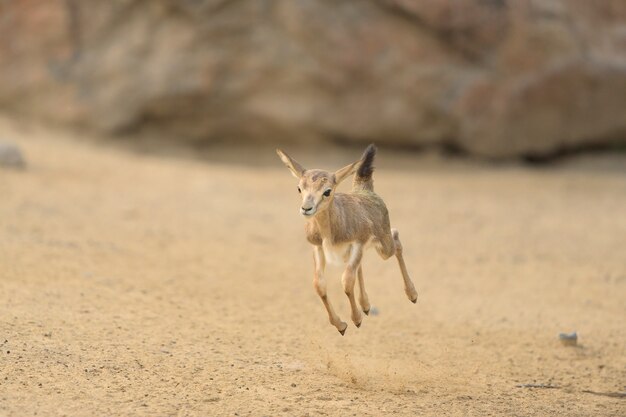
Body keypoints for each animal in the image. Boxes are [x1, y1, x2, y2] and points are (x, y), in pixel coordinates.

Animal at [276, 144, 416, 334]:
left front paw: (356, 320)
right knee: (361, 266)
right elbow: (319, 285)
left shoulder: (357, 244)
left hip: (384, 247)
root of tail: (365, 190)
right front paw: (341, 325)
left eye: (327, 191)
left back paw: (412, 295)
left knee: (396, 238)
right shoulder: (318, 248)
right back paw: (366, 305)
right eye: (299, 188)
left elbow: (347, 281)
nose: (306, 208)